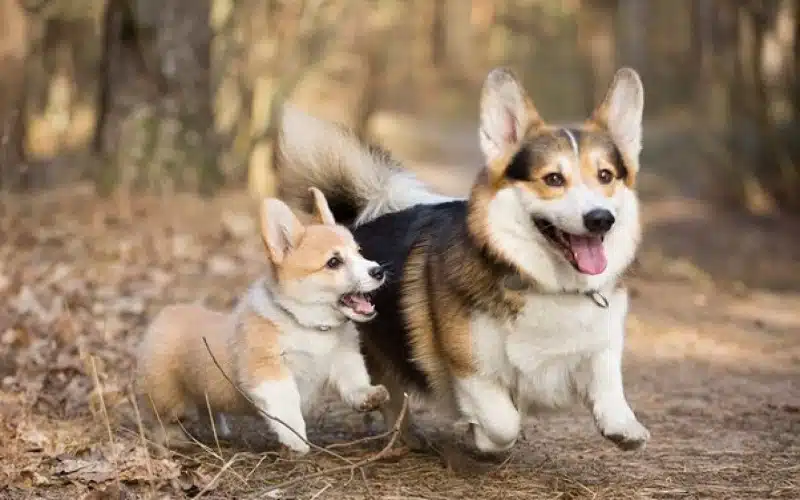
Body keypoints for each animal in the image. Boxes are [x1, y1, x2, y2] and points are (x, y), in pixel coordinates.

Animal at [136, 188, 392, 454]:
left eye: (359, 252)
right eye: (334, 262)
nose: (378, 271)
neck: (309, 325)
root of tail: (166, 313)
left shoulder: (344, 359)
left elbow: (354, 382)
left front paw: (369, 395)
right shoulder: (268, 370)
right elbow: (287, 407)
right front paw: (297, 440)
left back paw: (219, 429)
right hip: (164, 394)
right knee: (162, 419)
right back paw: (173, 439)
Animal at [274, 66, 648, 454]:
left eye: (605, 176)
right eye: (554, 179)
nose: (601, 219)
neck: (546, 284)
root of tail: (356, 223)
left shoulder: (603, 343)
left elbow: (608, 381)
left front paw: (623, 427)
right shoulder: (470, 368)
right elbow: (503, 422)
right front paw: (481, 438)